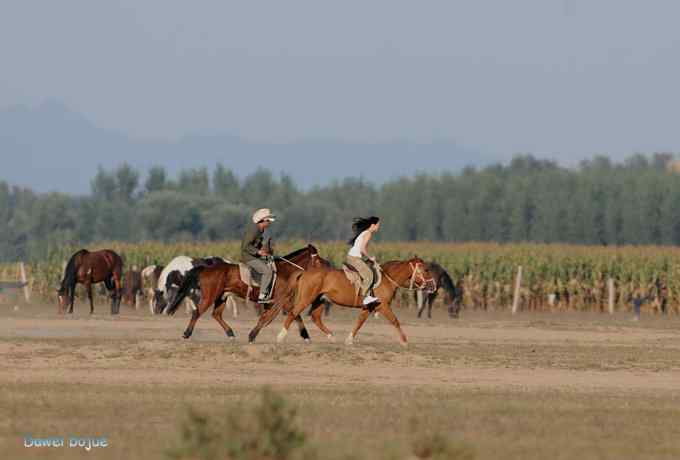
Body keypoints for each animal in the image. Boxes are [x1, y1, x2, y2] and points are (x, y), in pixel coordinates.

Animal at [163, 244, 326, 342]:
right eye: (318, 260)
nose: (327, 268)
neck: (285, 272)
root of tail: (205, 268)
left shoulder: (275, 303)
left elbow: (288, 316)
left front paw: (306, 336)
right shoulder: (281, 301)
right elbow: (278, 317)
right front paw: (252, 335)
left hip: (222, 297)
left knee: (216, 314)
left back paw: (231, 334)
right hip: (210, 296)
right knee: (197, 312)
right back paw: (187, 333)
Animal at [264, 255, 436, 344]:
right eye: (426, 270)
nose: (433, 286)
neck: (386, 279)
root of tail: (304, 272)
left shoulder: (369, 307)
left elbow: (359, 322)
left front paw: (349, 339)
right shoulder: (383, 306)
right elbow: (395, 320)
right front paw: (404, 340)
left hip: (320, 300)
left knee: (315, 316)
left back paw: (331, 336)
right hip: (306, 298)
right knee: (293, 313)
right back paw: (280, 336)